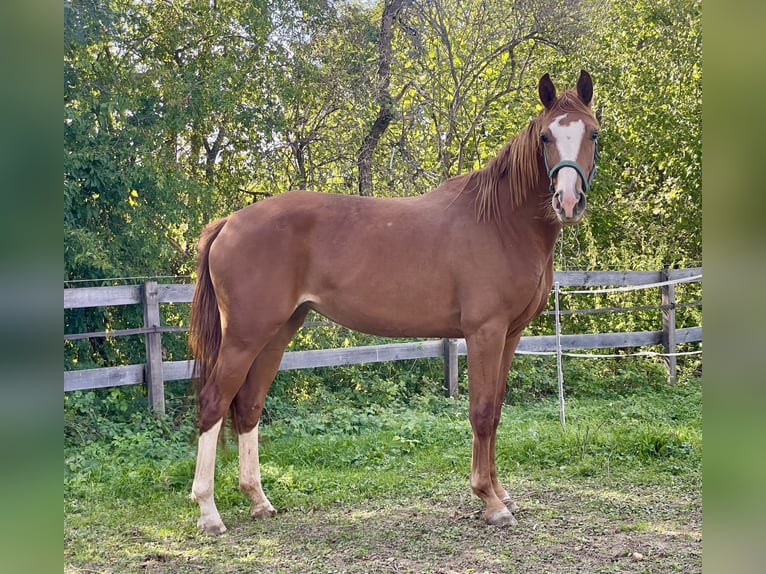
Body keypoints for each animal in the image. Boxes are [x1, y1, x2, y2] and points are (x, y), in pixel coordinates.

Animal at [189, 70, 600, 534]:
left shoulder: (509, 336)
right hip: (244, 335)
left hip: (277, 332)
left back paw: (259, 500)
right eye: (546, 137)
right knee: (214, 403)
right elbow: (480, 412)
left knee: (248, 405)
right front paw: (490, 501)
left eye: (593, 134)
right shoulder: (484, 333)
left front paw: (500, 492)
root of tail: (229, 223)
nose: (569, 201)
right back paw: (209, 512)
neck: (500, 221)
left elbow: (495, 410)